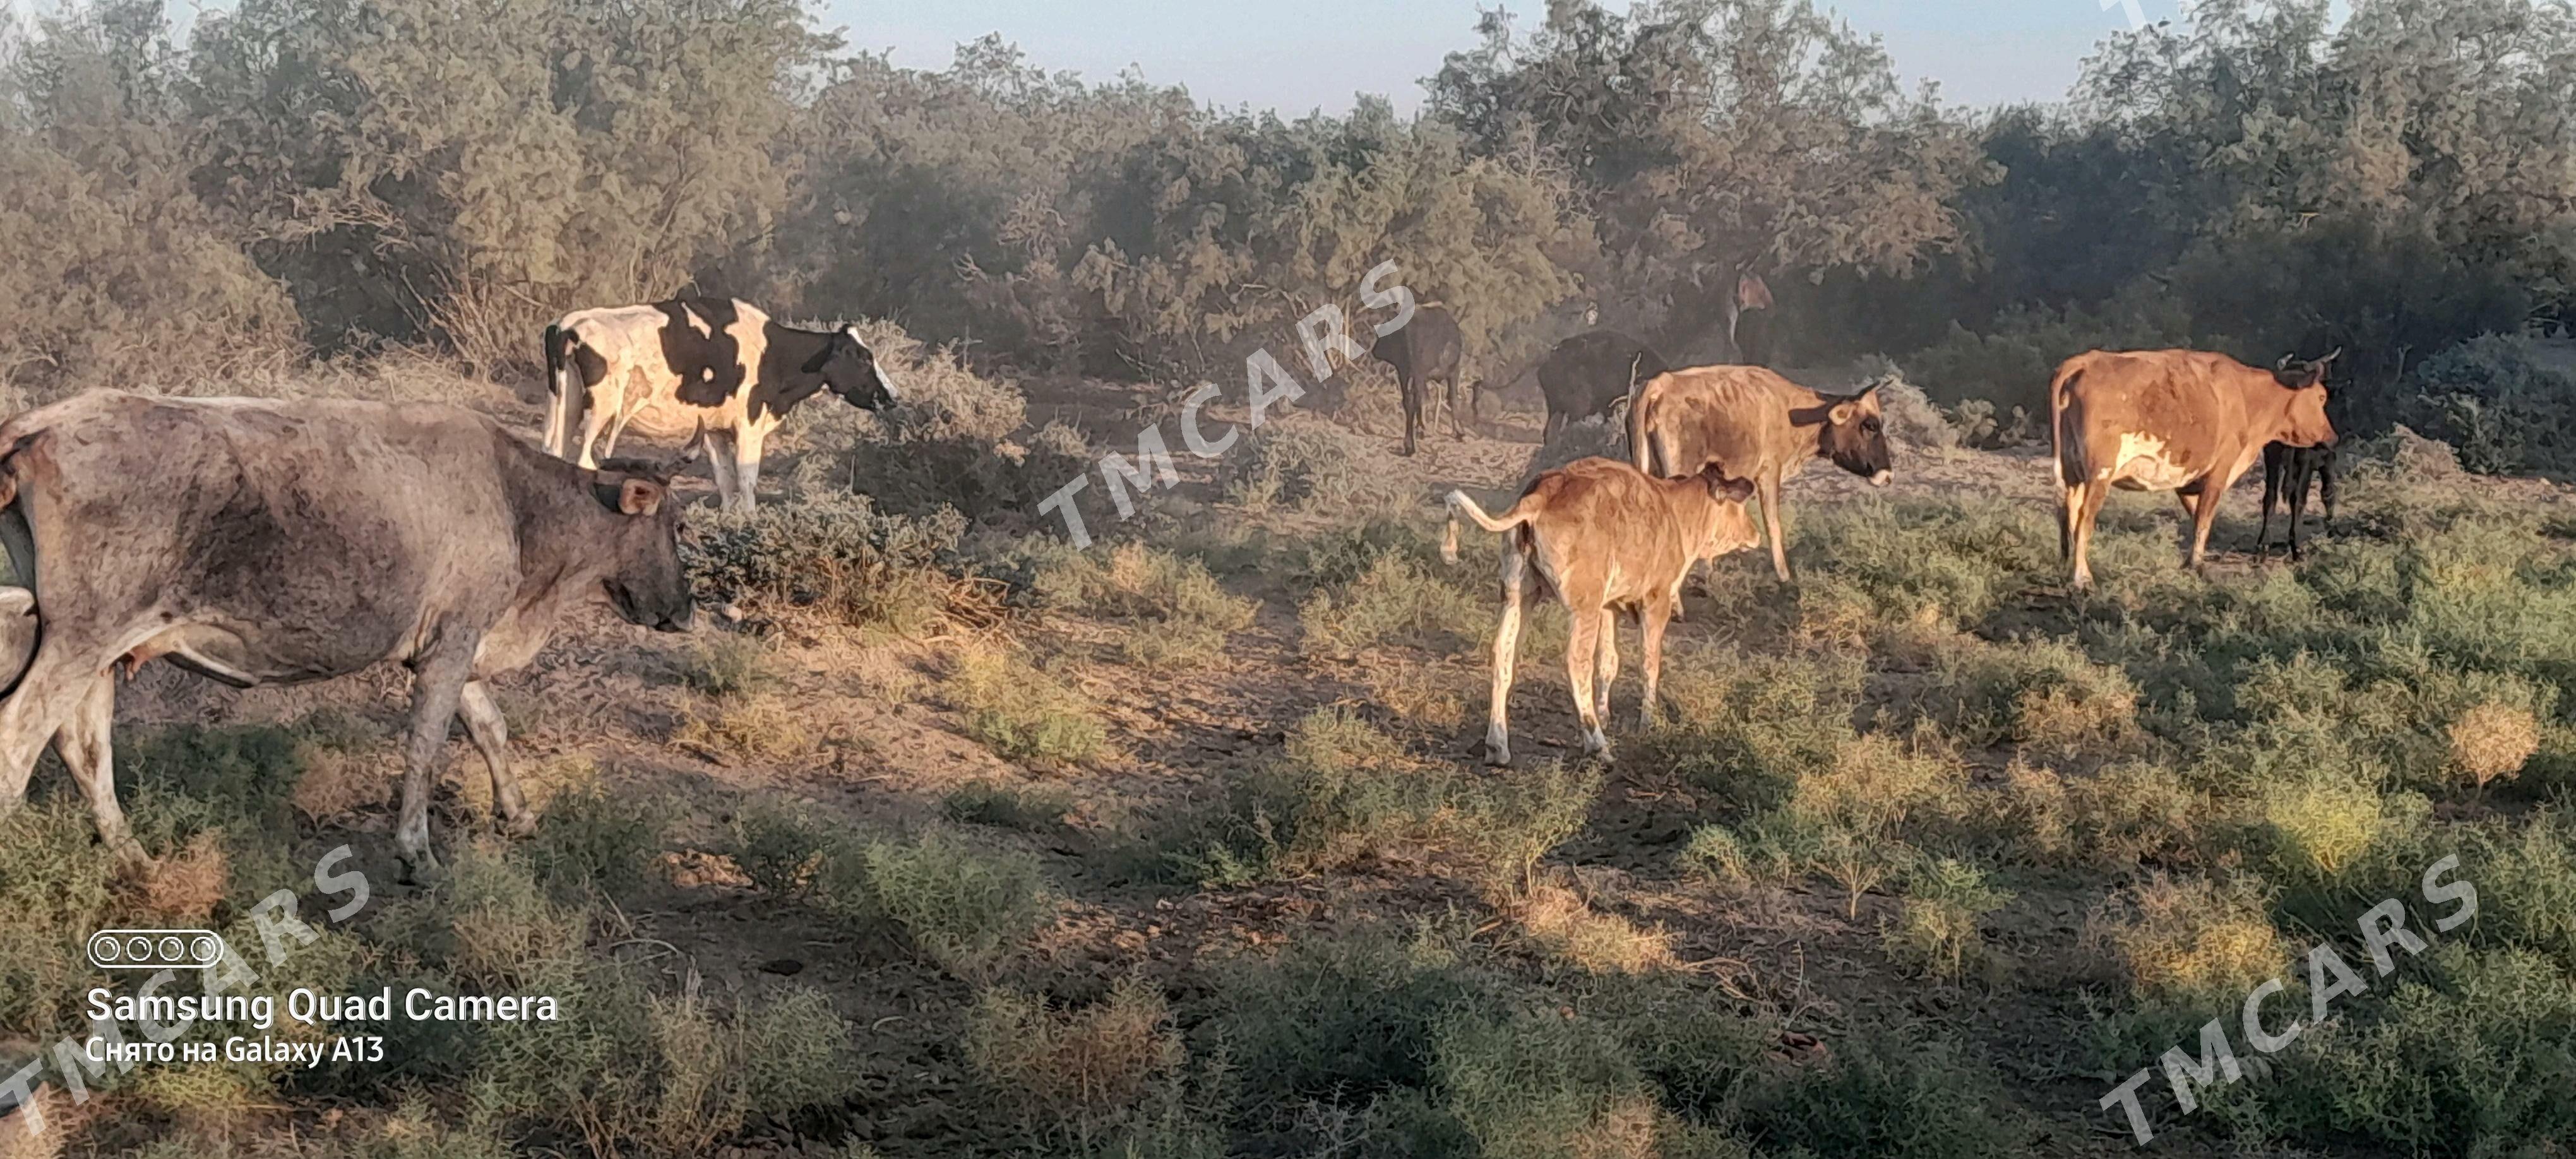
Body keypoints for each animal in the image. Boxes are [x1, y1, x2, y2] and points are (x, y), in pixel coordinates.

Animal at [0, 391, 695, 881]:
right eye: (678, 524)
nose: (685, 611)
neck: (517, 500)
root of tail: (40, 424)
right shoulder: (453, 642)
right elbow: (426, 747)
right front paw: (418, 853)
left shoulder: (452, 642)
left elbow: (489, 727)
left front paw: (520, 814)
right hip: (82, 638)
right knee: (19, 740)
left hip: (91, 650)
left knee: (85, 747)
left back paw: (134, 858)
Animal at [540, 296, 896, 509]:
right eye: (864, 358)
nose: (892, 396)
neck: (773, 353)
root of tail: (568, 326)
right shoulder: (750, 423)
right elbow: (747, 479)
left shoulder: (714, 429)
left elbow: (724, 480)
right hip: (602, 409)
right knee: (585, 461)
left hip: (563, 407)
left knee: (553, 454)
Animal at [1442, 458, 1762, 767]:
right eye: (1739, 505)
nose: (1755, 533)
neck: (1676, 511)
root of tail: (1547, 490)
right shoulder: (1655, 601)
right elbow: (1649, 663)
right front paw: (1648, 722)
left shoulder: (1609, 607)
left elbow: (1609, 661)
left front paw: (1606, 714)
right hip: (1584, 605)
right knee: (1576, 662)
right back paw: (1597, 745)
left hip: (1518, 594)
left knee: (1502, 654)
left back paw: (1498, 746)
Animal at [1628, 368, 1895, 585]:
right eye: (1870, 425)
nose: (1888, 474)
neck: (1790, 410)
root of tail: (1664, 382)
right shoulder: (1768, 471)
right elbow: (1773, 525)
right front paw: (1785, 576)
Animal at [2040, 342, 2349, 580]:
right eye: (2321, 396)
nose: (2332, 437)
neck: (2246, 396)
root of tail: (2084, 362)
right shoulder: (2220, 470)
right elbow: (2204, 518)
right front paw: (2195, 564)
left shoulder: (2189, 479)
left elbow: (2197, 516)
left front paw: (2194, 561)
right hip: (2099, 474)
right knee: (2084, 519)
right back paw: (2082, 578)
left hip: (2072, 474)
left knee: (2067, 513)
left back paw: (2066, 567)